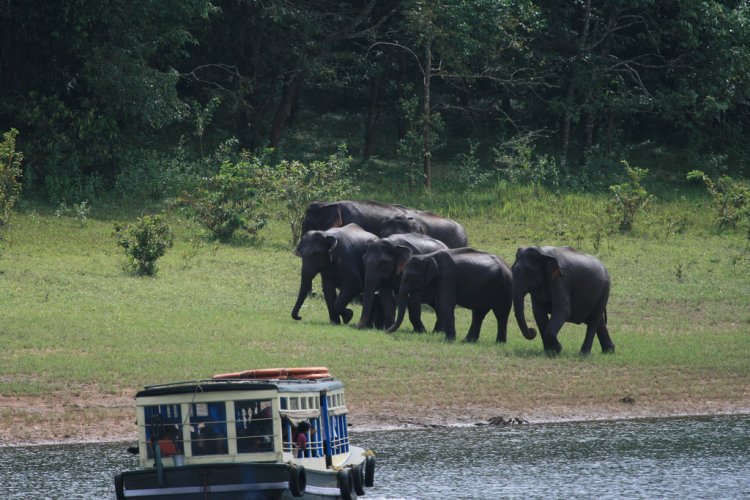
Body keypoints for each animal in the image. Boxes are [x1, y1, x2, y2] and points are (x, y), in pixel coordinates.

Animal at [388, 247, 516, 344]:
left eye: (411, 276)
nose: (387, 331)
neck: (428, 256)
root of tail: (508, 267)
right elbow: (440, 304)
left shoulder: (447, 276)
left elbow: (446, 303)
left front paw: (448, 341)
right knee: (478, 314)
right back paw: (467, 341)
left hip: (505, 287)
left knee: (501, 314)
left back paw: (499, 343)